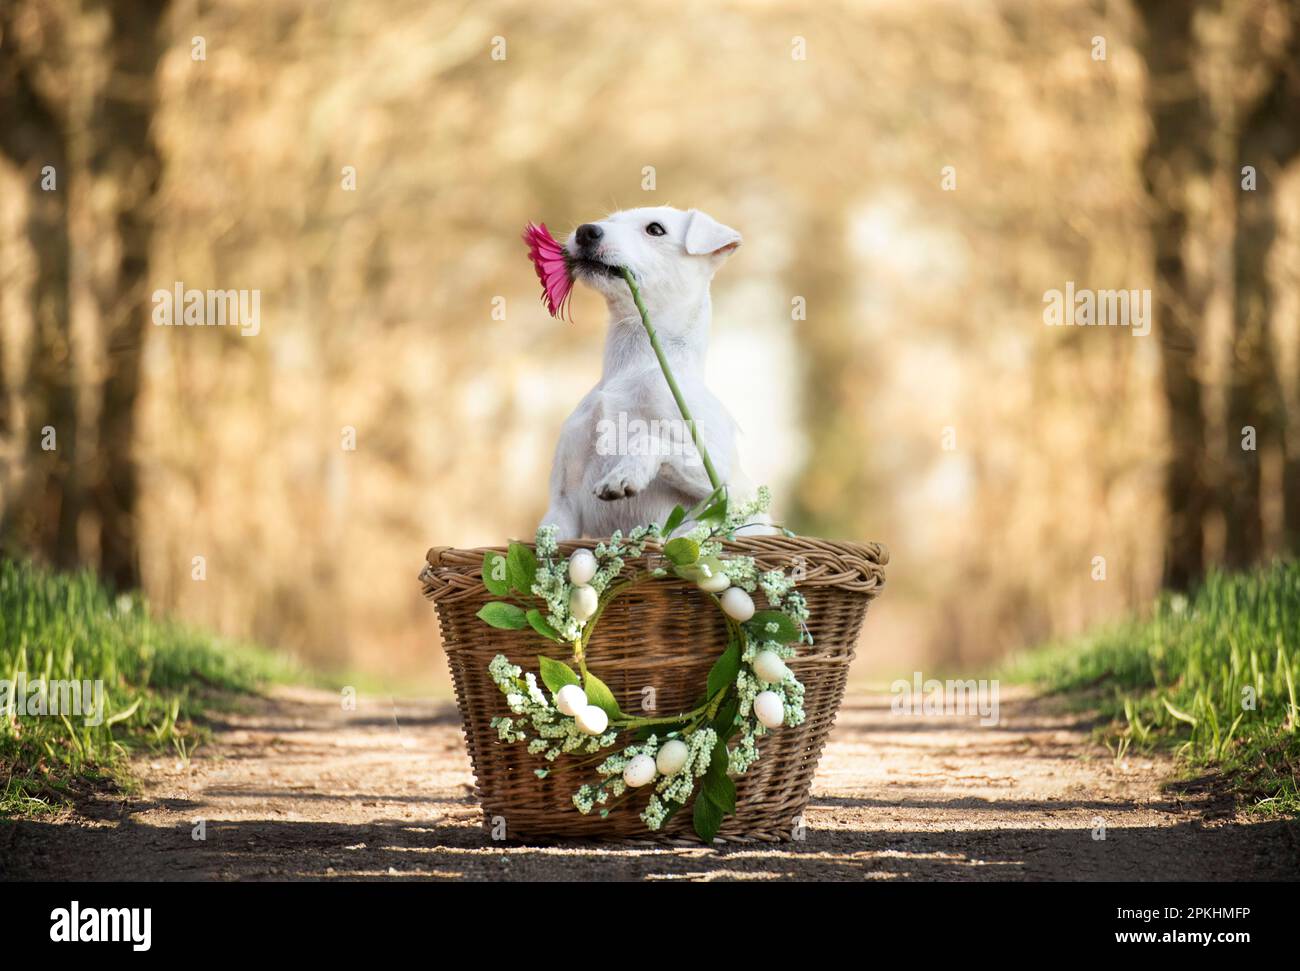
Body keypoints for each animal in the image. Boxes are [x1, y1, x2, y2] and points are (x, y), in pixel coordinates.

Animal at [543, 206, 759, 538]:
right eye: (610, 220)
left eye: (655, 229)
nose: (585, 231)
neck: (633, 364)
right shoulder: (562, 506)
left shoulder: (734, 490)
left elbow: (652, 441)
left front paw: (624, 474)